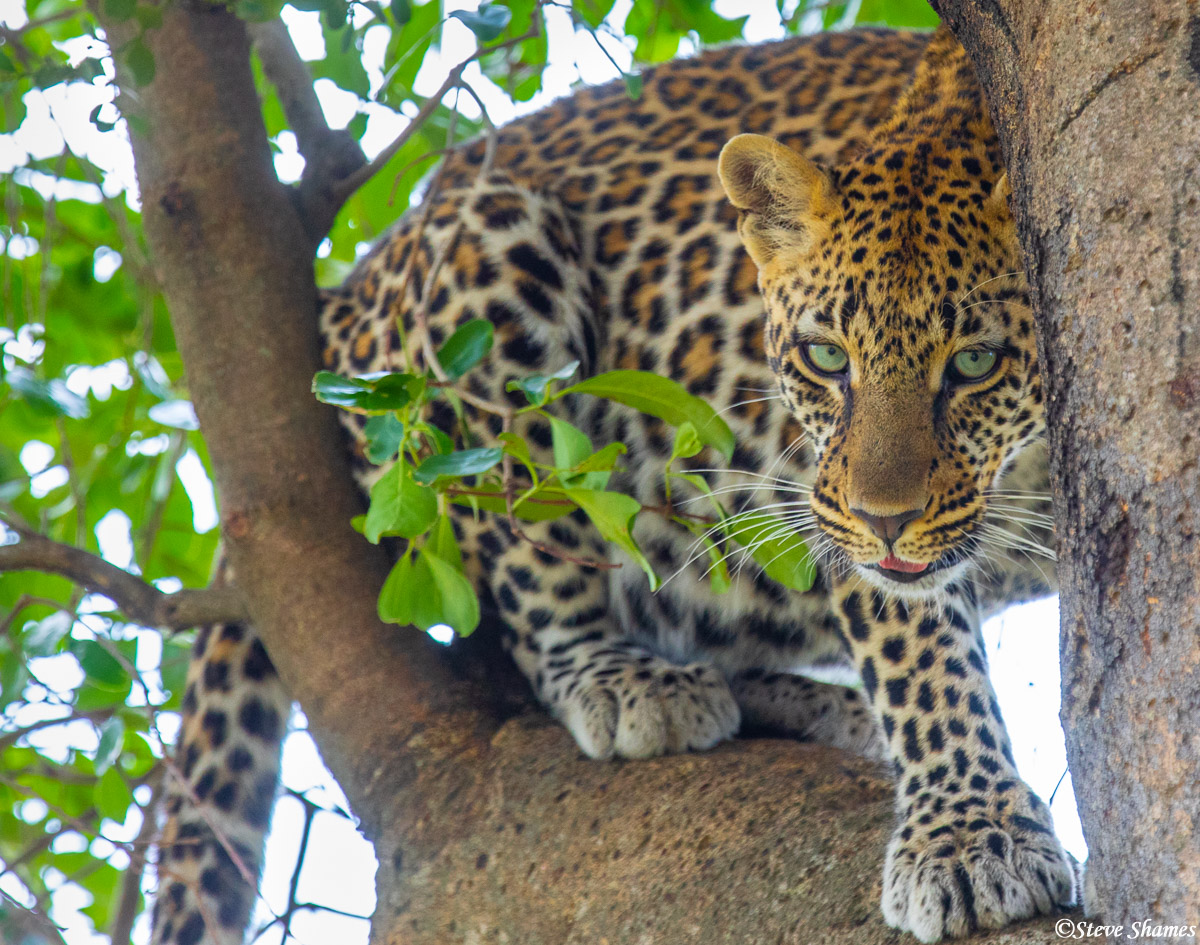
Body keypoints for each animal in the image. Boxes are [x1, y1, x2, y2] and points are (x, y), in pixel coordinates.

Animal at [150, 22, 1080, 944]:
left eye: (975, 363)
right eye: (825, 357)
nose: (883, 520)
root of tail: (348, 287)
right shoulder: (834, 494)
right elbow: (920, 657)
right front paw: (969, 835)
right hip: (485, 276)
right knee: (531, 583)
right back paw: (626, 678)